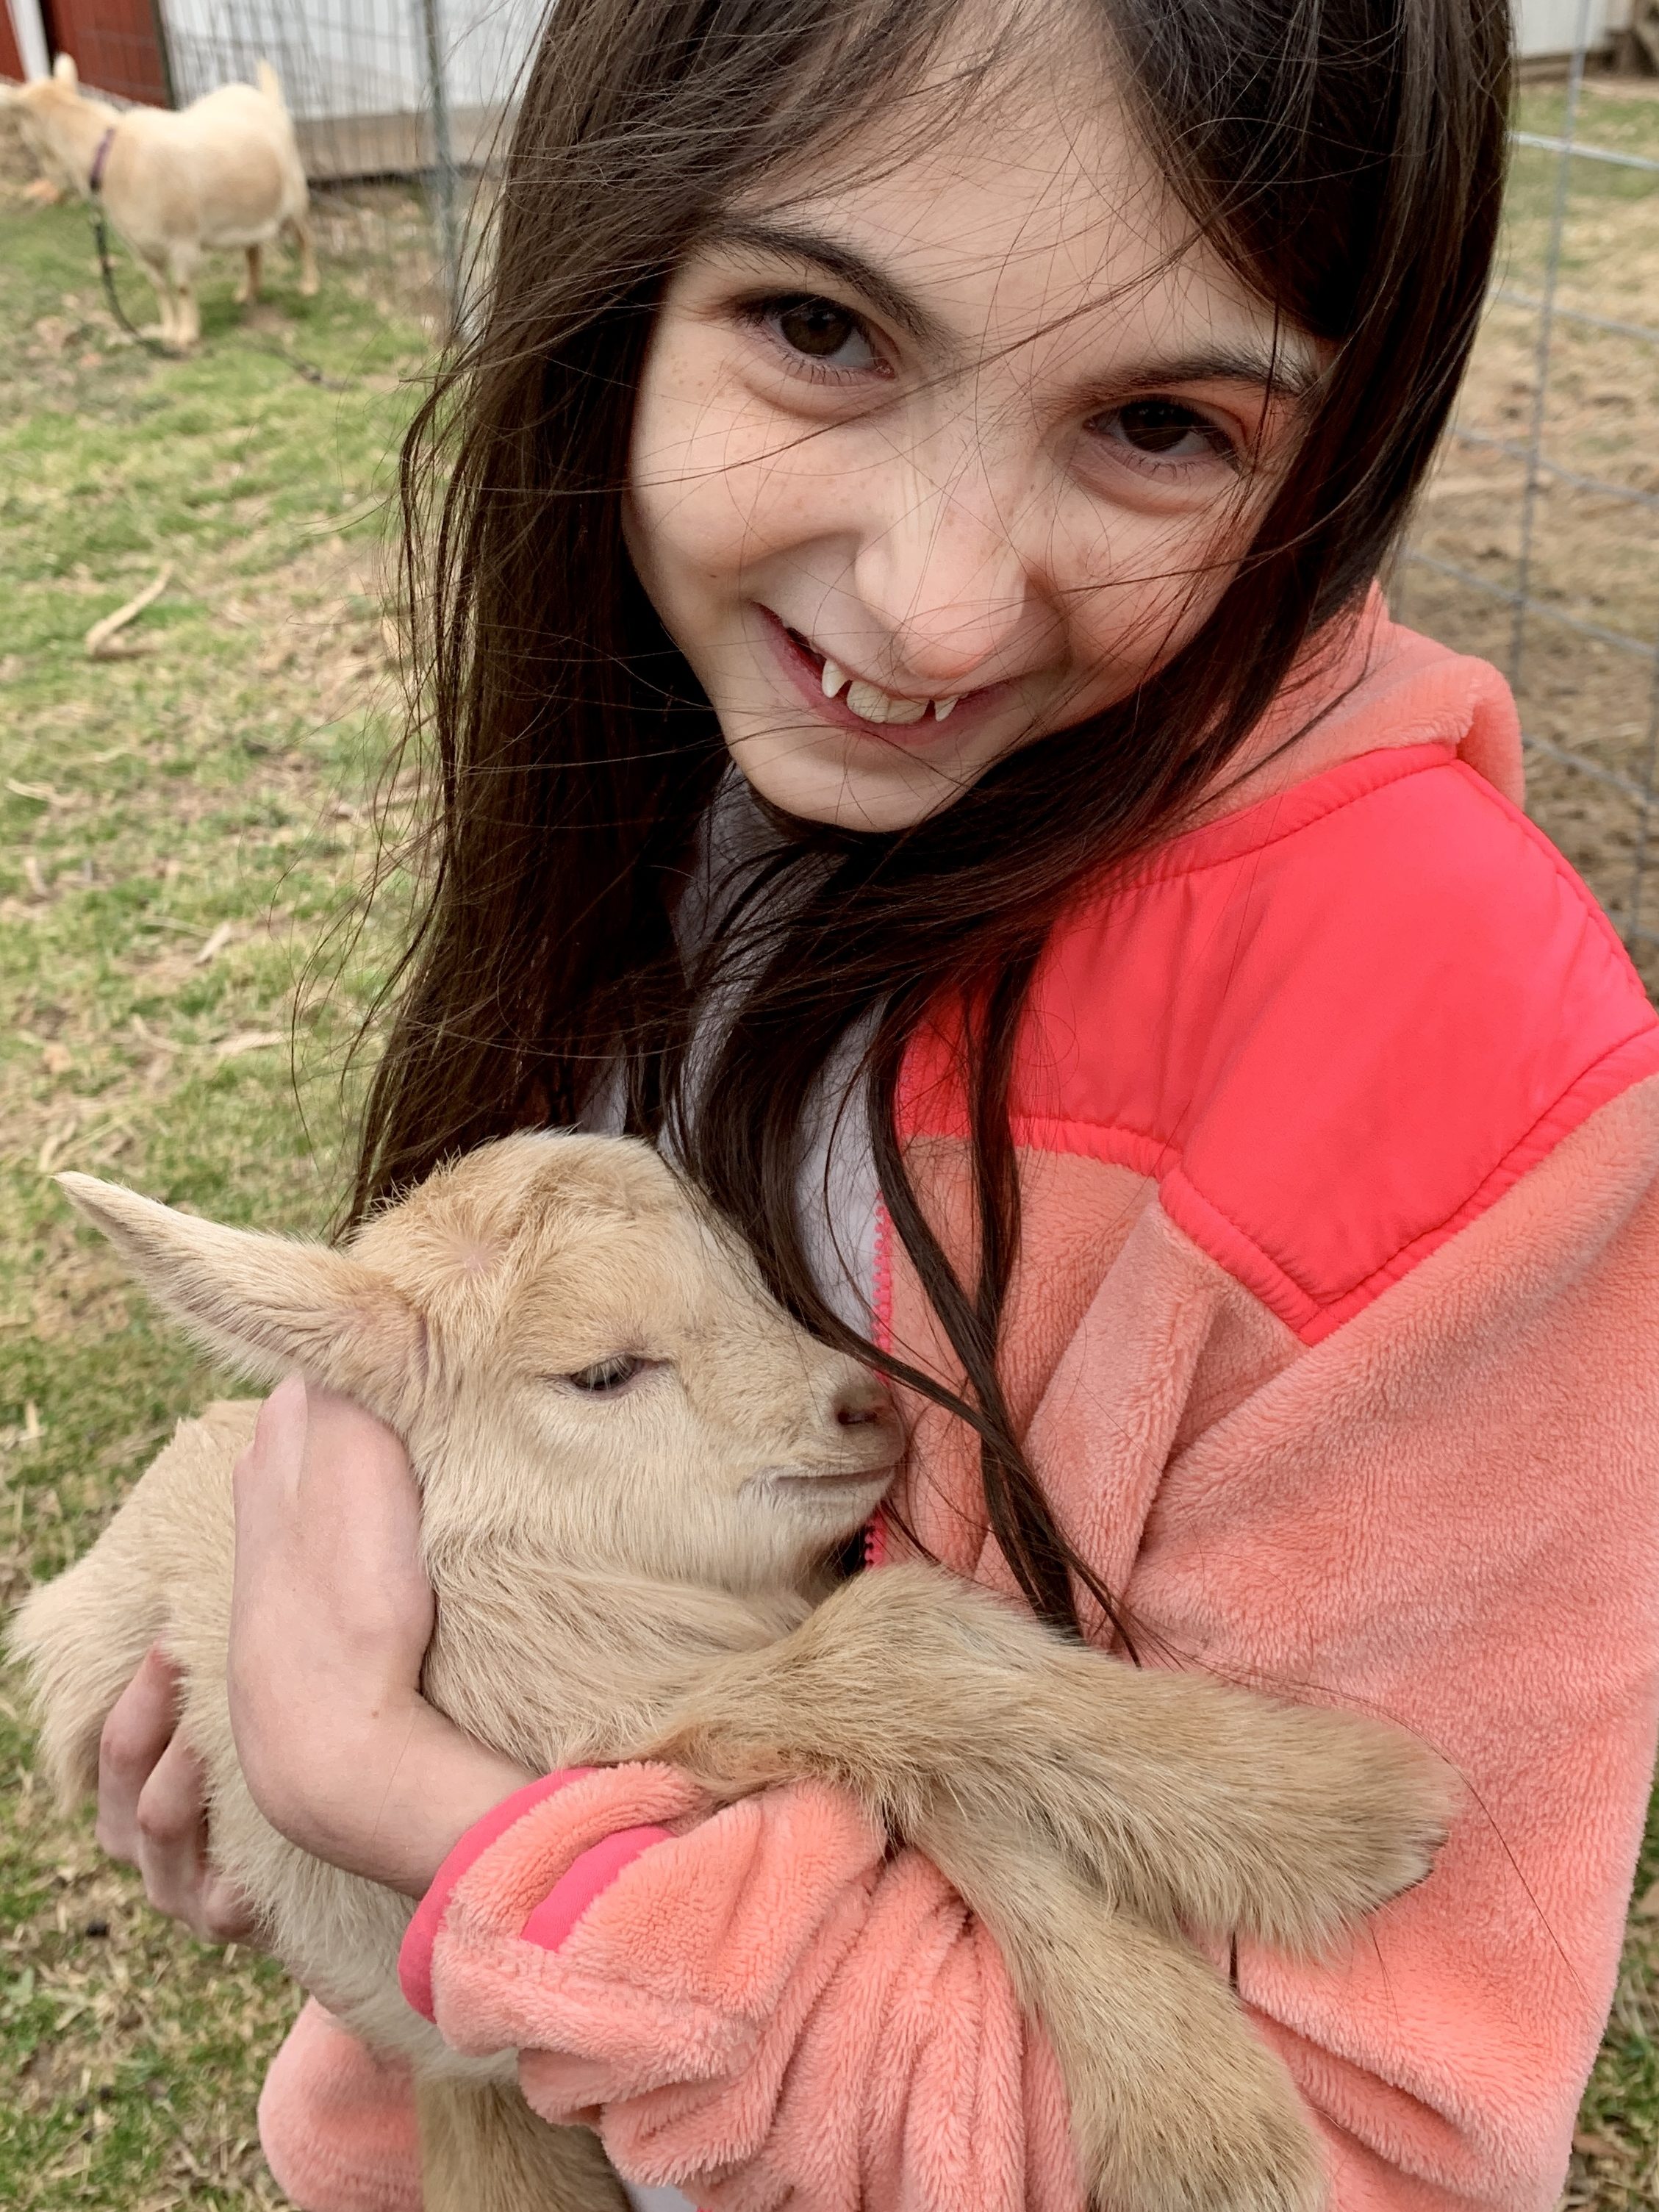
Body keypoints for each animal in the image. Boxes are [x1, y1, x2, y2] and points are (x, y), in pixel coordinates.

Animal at [13, 1131, 1455, 2212]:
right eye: (601, 1369)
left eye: (753, 1273)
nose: (864, 1407)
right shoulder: (635, 1723)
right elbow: (895, 1656)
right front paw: (1340, 1826)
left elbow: (941, 1764)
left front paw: (1199, 2108)